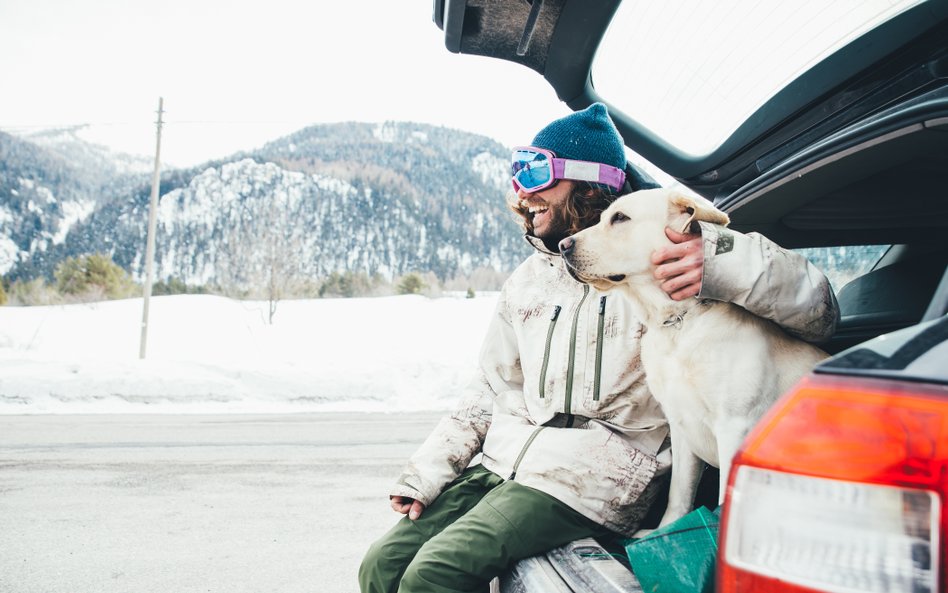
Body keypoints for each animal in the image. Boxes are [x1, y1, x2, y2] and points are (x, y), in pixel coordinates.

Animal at [560, 186, 824, 532]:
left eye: (620, 218)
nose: (562, 246)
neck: (678, 323)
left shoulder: (734, 428)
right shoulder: (681, 425)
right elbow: (679, 494)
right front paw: (667, 530)